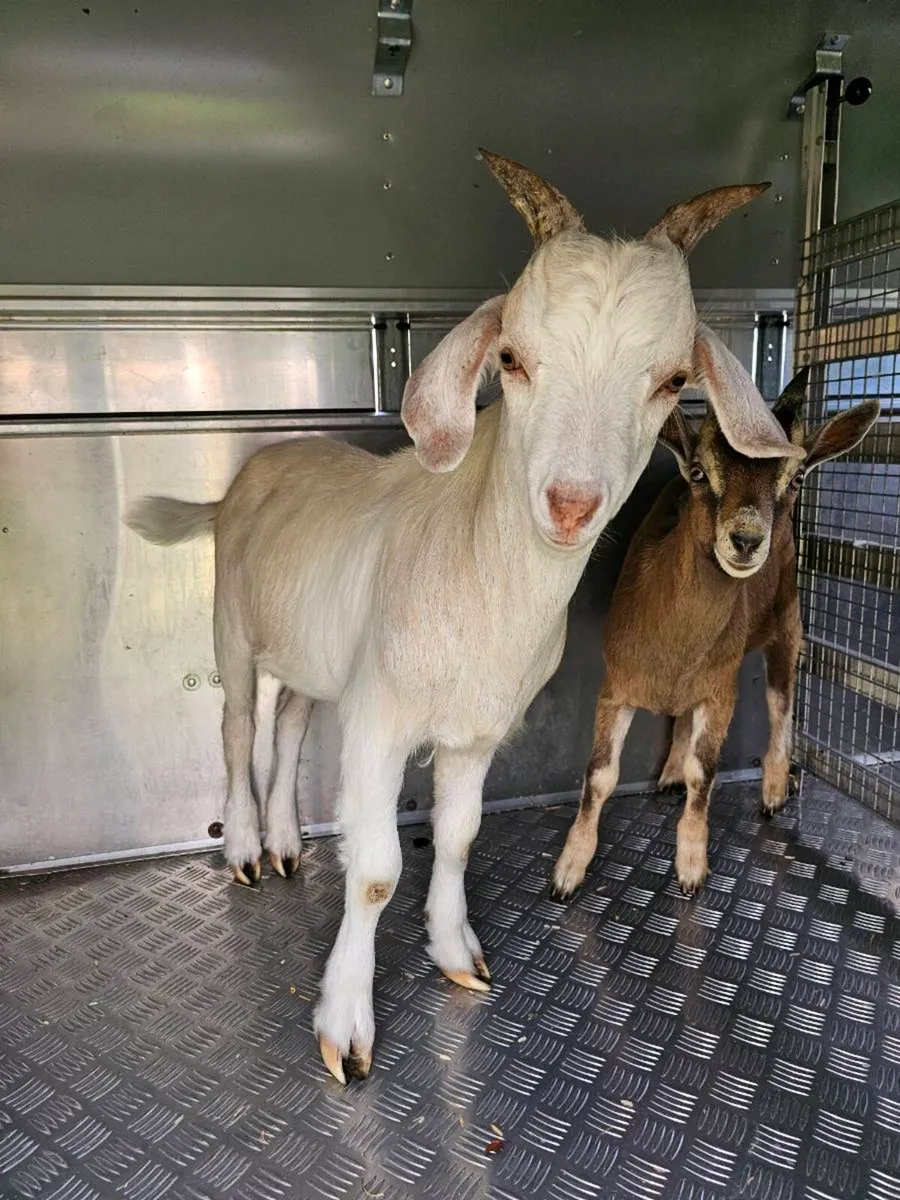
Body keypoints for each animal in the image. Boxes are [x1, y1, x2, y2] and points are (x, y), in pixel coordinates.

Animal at [126, 150, 799, 1085]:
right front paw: (346, 1027)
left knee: (290, 723)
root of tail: (251, 476)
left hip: (314, 653)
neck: (478, 575)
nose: (570, 505)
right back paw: (245, 850)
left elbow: (457, 839)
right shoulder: (379, 721)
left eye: (673, 381)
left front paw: (455, 954)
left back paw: (290, 841)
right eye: (511, 358)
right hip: (231, 625)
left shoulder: (474, 731)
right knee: (236, 727)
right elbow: (375, 873)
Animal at [551, 368, 880, 900]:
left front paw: (691, 866)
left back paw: (774, 786)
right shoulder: (616, 686)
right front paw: (568, 871)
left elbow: (703, 775)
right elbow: (600, 775)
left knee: (781, 701)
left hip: (788, 620)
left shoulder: (721, 692)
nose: (746, 540)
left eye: (797, 478)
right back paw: (669, 773)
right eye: (698, 472)